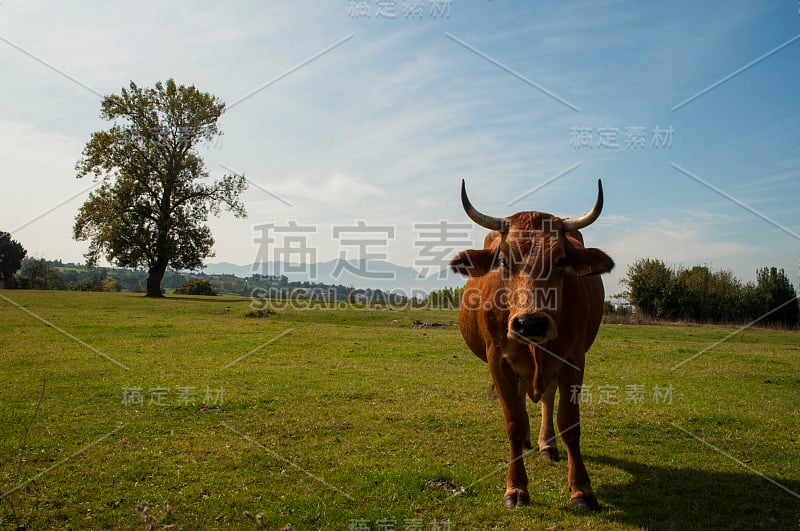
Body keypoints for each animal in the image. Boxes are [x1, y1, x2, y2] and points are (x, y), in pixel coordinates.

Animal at [450, 180, 612, 512]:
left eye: (561, 260)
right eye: (503, 260)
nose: (531, 324)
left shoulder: (574, 359)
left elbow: (569, 422)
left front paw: (582, 490)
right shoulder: (498, 360)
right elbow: (514, 422)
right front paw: (516, 488)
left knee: (547, 398)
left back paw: (546, 445)